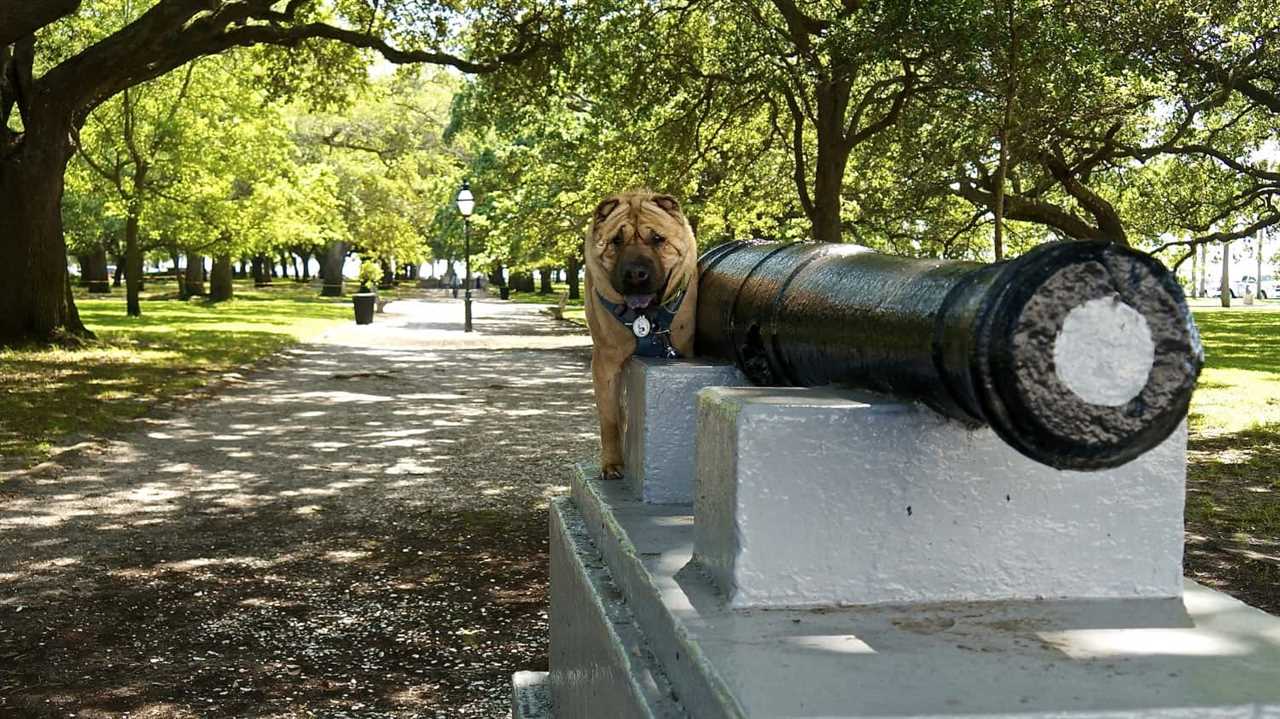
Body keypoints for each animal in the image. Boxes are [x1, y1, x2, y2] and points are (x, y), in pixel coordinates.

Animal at [583, 190, 696, 478]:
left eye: (657, 239)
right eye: (616, 241)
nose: (635, 273)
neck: (646, 318)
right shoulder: (606, 363)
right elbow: (610, 418)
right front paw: (612, 463)